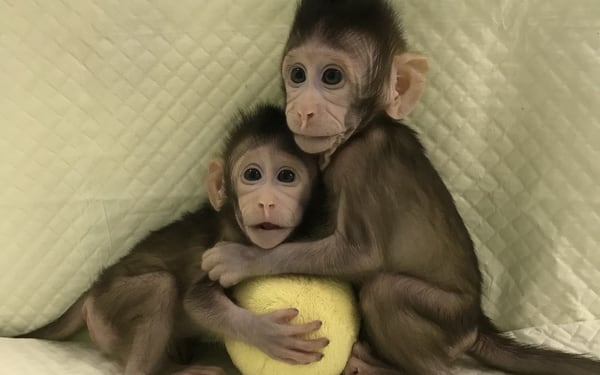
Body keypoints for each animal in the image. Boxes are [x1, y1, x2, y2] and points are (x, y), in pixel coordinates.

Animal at [19, 103, 328, 375]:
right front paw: (265, 332)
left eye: (286, 176)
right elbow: (196, 300)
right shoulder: (220, 246)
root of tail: (95, 288)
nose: (266, 202)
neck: (235, 225)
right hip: (107, 308)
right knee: (161, 287)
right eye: (252, 174)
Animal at [200, 0, 600, 375]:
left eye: (331, 76)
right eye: (298, 74)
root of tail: (475, 324)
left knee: (386, 293)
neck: (365, 128)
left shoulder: (360, 162)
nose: (303, 110)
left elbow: (362, 254)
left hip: (445, 318)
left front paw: (243, 258)